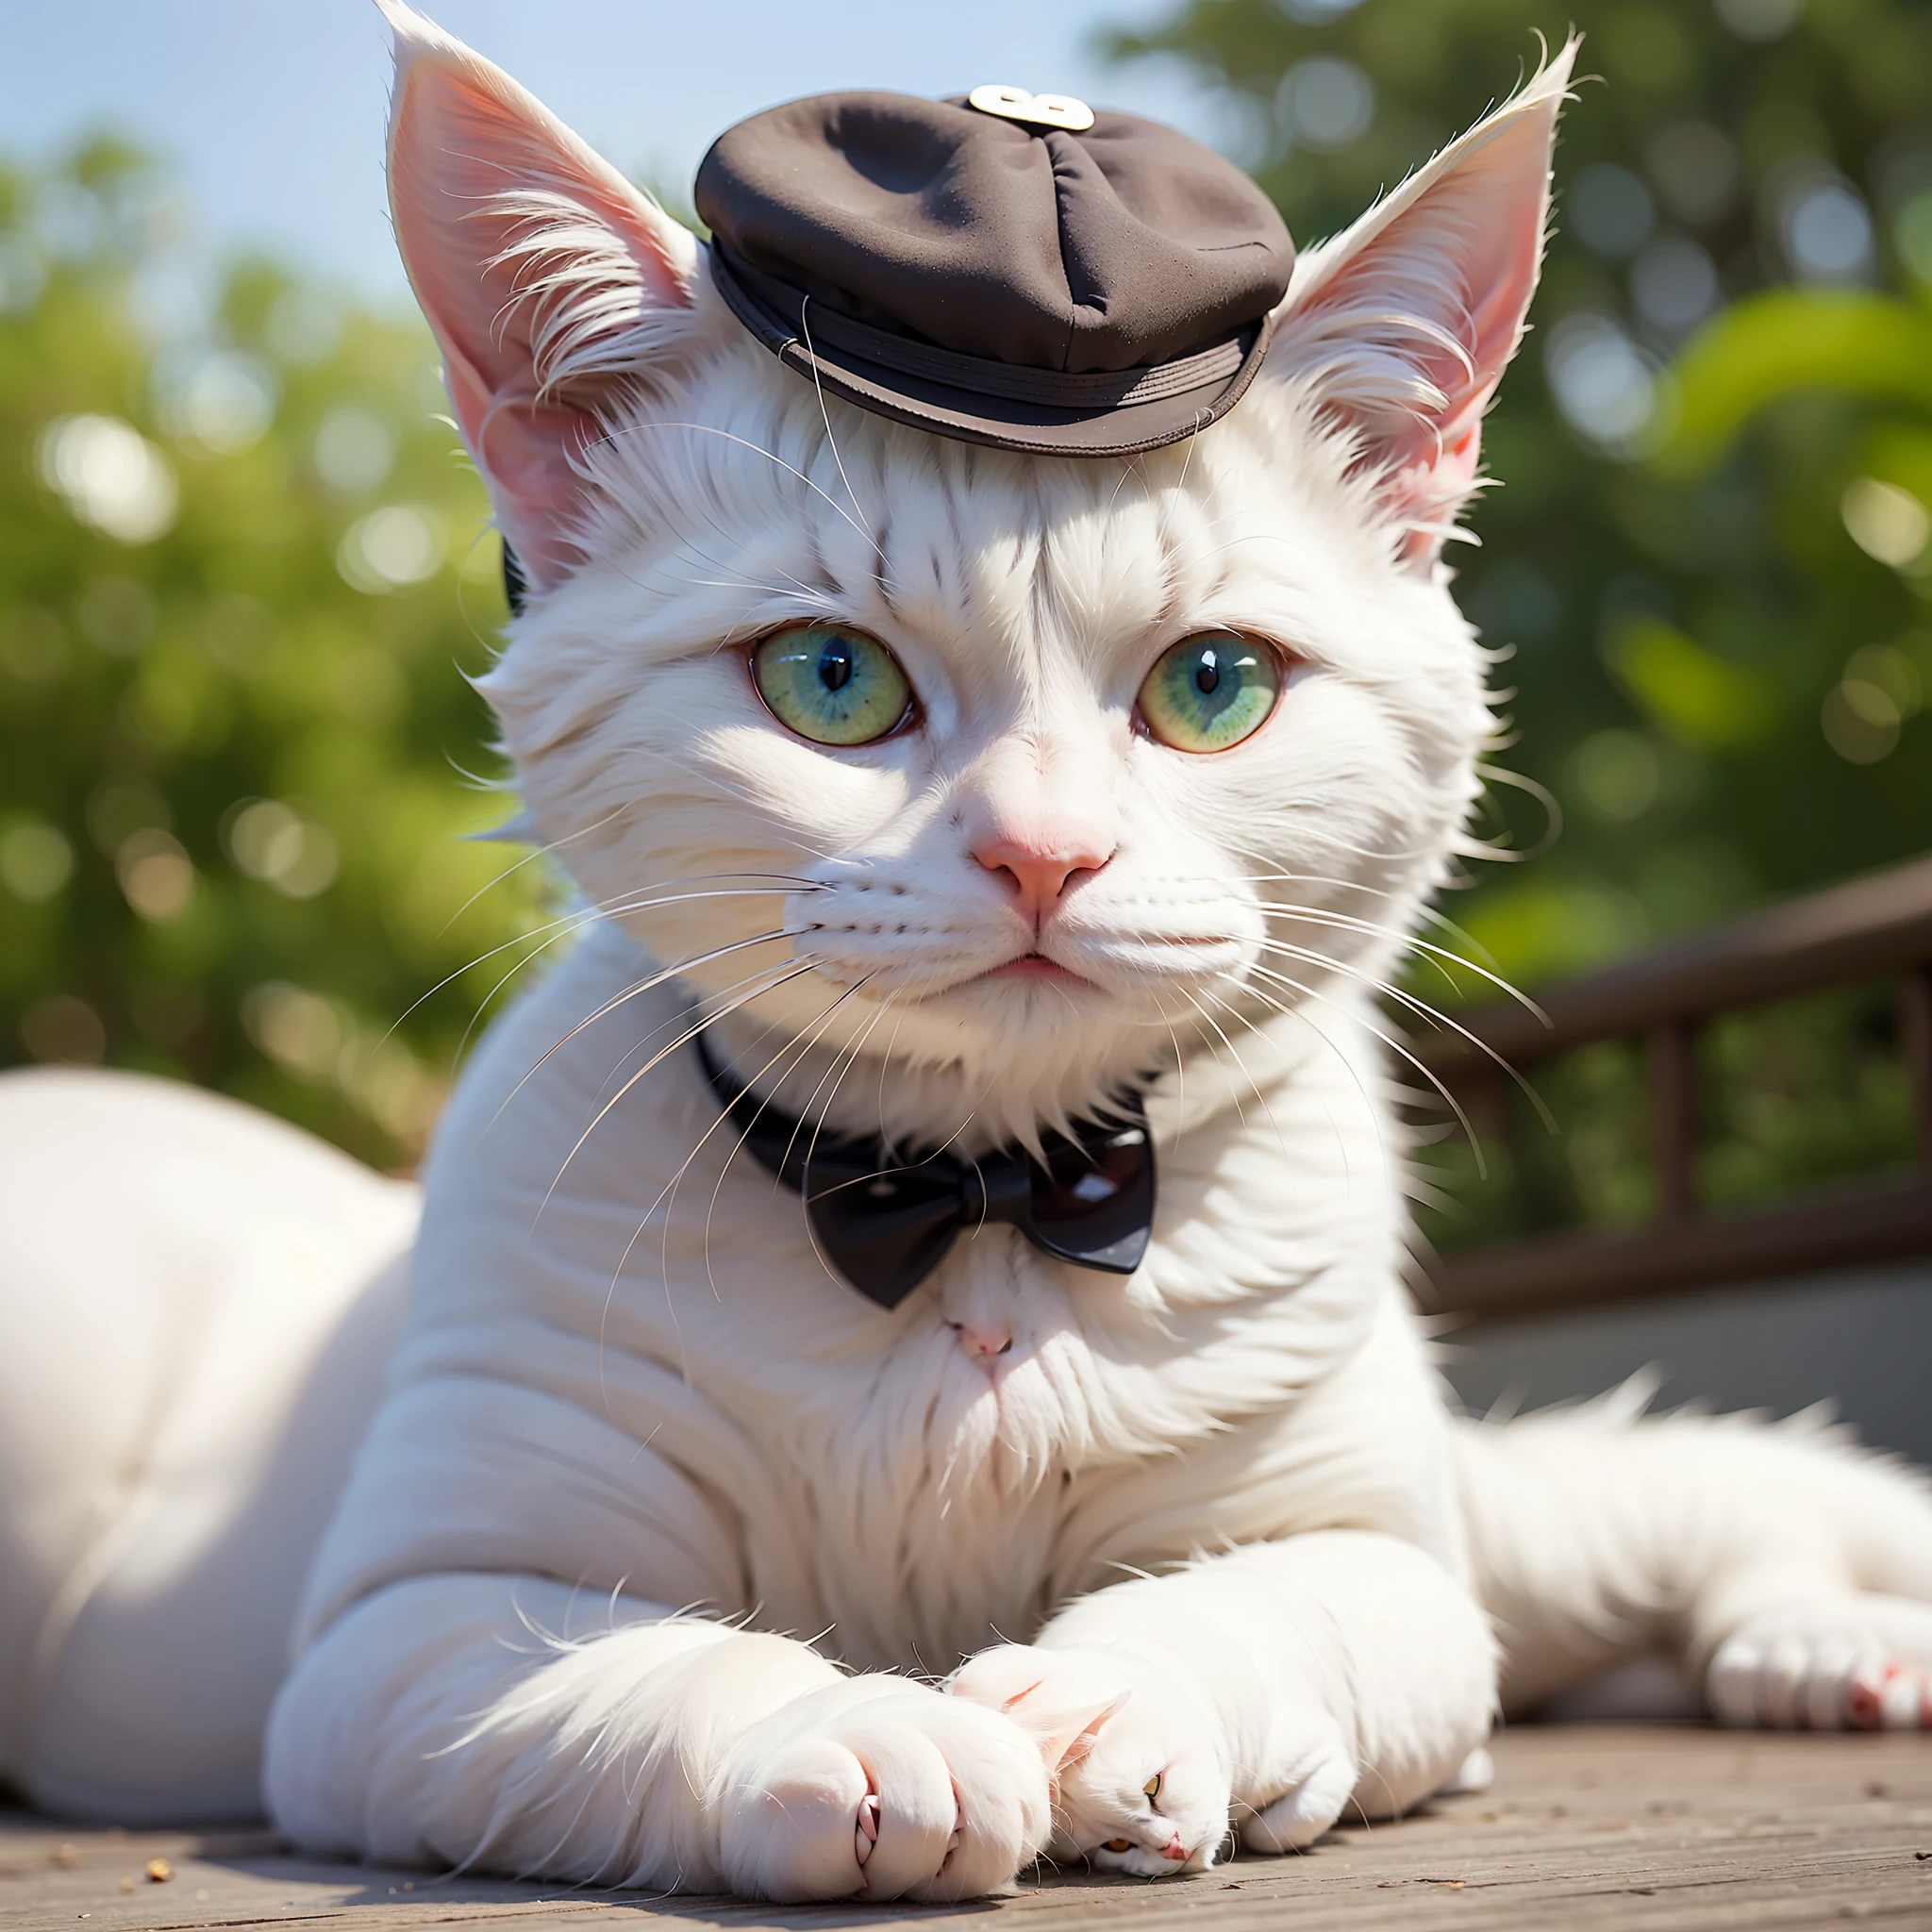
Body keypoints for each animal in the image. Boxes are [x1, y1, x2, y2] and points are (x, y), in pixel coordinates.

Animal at [4, 0, 1932, 1901]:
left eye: (1212, 684)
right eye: (829, 678)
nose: (1041, 850)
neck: (977, 1207)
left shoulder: (1370, 1555)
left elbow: (1268, 1604)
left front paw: (1116, 1690)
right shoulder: (402, 1629)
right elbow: (642, 1663)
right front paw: (855, 1731)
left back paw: (1829, 1648)